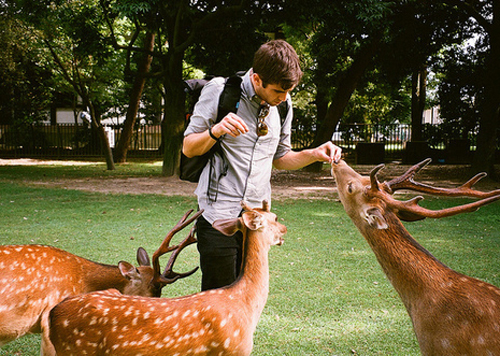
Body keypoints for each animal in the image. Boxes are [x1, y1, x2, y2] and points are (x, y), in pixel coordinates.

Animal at [48, 200, 288, 356]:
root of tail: (53, 314)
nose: (285, 229)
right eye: (275, 218)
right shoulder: (234, 350)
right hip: (76, 350)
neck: (245, 305)